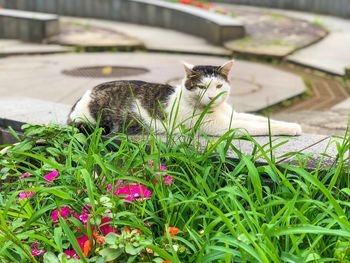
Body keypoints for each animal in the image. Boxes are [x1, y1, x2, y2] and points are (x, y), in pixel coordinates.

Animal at [67, 61, 302, 137]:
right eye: (201, 87)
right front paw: (290, 129)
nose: (211, 96)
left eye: (218, 86)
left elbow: (262, 120)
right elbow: (258, 127)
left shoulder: (233, 114)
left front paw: (293, 125)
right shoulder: (219, 127)